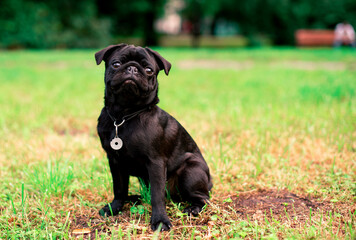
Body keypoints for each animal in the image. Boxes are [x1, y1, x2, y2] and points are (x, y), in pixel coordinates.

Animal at [94, 43, 211, 231]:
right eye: (116, 64)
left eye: (149, 70)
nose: (132, 68)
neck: (123, 116)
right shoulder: (114, 161)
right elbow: (119, 187)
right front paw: (115, 207)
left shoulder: (155, 162)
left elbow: (157, 195)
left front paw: (160, 220)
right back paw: (133, 198)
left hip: (191, 171)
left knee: (203, 198)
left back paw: (193, 208)